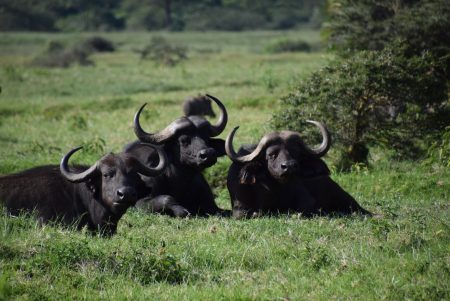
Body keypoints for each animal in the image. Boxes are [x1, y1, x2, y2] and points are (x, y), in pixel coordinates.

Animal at [225, 120, 370, 217]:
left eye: (295, 153)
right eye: (271, 154)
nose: (289, 166)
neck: (276, 189)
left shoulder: (308, 201)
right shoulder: (239, 208)